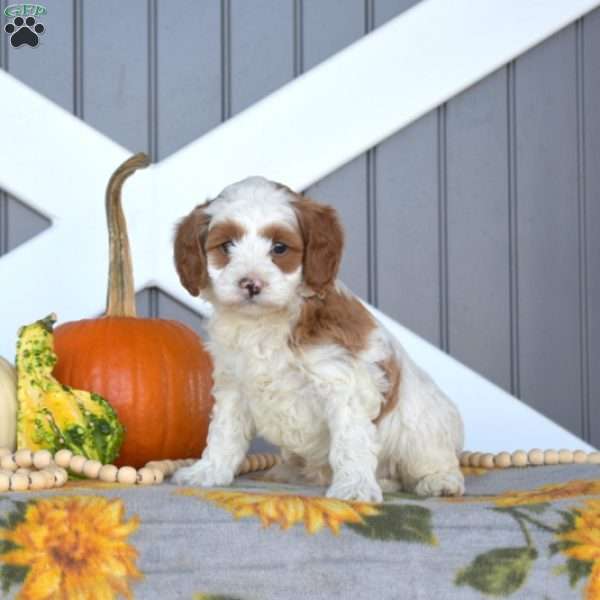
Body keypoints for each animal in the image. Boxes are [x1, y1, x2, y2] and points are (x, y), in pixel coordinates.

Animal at [171, 177, 466, 502]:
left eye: (279, 248)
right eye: (226, 246)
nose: (251, 284)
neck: (263, 322)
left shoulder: (343, 382)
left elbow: (350, 440)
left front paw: (354, 488)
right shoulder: (234, 385)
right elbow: (224, 432)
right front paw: (207, 472)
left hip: (421, 429)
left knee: (431, 460)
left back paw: (439, 481)